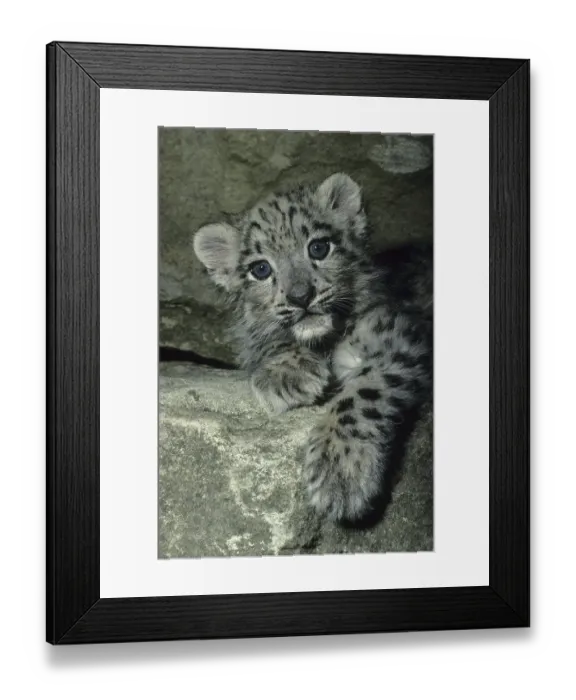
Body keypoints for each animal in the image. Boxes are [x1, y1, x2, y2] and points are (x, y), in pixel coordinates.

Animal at [193, 172, 432, 524]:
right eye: (260, 269)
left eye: (319, 248)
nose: (300, 296)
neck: (327, 342)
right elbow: (267, 340)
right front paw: (289, 374)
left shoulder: (399, 335)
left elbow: (364, 393)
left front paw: (340, 469)